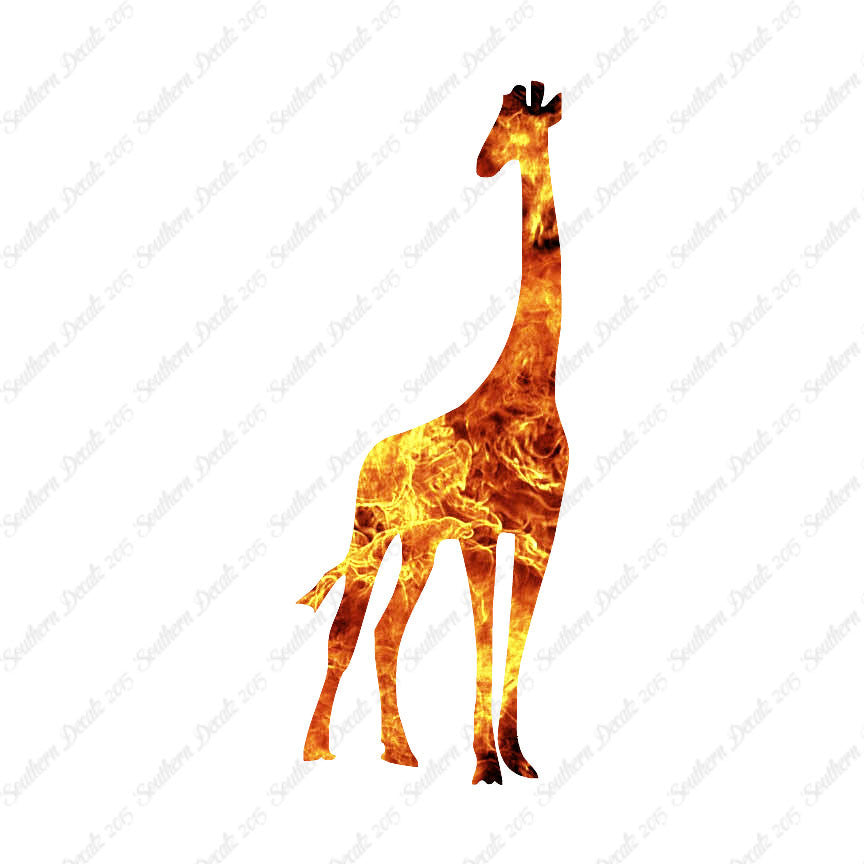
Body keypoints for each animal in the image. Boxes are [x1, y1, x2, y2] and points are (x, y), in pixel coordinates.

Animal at [297, 81, 568, 784]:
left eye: (515, 122)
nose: (482, 163)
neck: (533, 385)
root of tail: (368, 457)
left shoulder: (540, 534)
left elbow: (515, 640)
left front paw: (517, 759)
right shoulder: (481, 533)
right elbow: (485, 639)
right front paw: (486, 765)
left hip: (418, 545)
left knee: (384, 631)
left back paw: (400, 752)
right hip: (370, 532)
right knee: (344, 632)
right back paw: (318, 749)